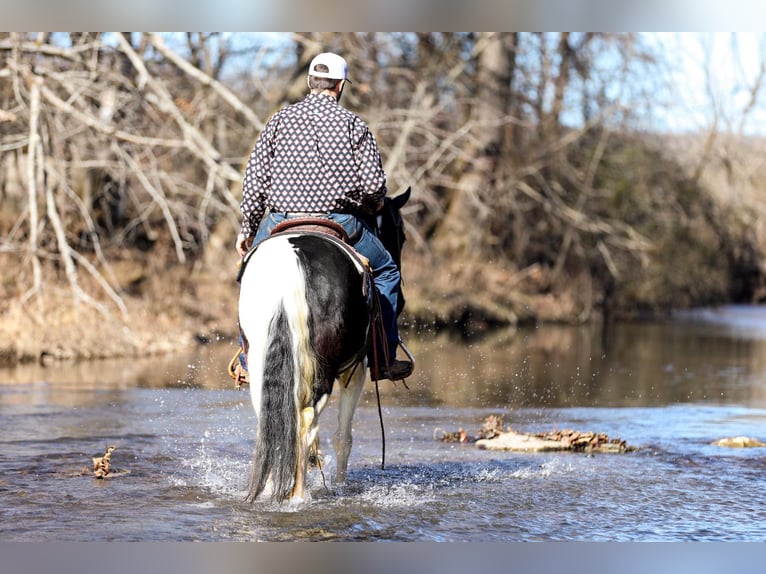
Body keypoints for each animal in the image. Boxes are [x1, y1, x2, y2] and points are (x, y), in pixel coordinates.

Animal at [240, 189, 412, 504]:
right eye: (401, 234)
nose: (403, 300)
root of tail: (288, 269)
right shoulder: (356, 371)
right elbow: (343, 438)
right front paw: (340, 485)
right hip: (325, 370)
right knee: (305, 423)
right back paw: (297, 495)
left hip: (261, 360)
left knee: (273, 419)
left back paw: (271, 487)